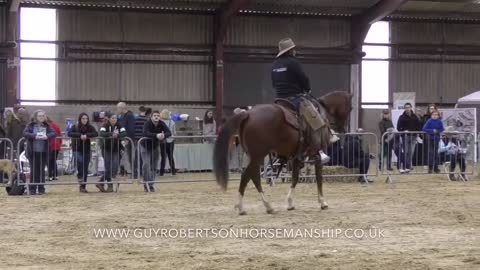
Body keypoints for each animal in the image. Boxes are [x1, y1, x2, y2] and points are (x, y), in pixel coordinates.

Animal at [214, 90, 352, 215]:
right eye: (351, 108)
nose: (344, 129)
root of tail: (247, 114)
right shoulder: (315, 154)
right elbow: (318, 178)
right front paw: (323, 202)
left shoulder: (297, 157)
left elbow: (295, 178)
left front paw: (290, 203)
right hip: (258, 156)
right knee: (249, 176)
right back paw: (254, 206)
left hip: (254, 156)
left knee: (252, 176)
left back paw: (258, 206)